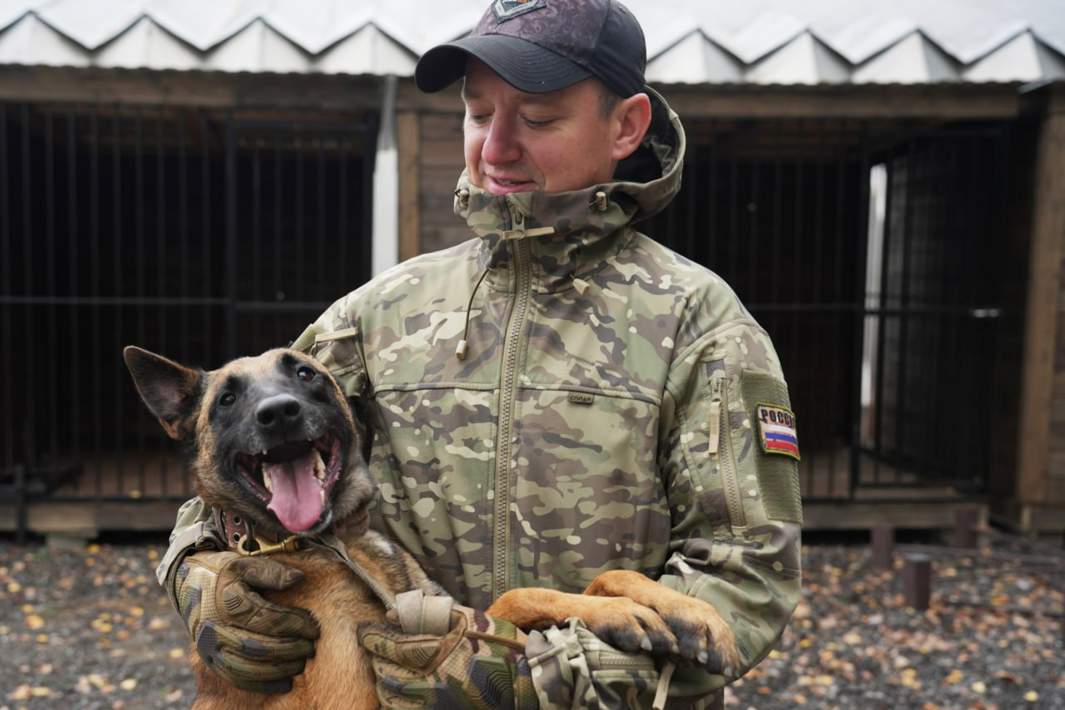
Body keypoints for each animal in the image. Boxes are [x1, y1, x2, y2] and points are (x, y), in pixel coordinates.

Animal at [126, 344, 741, 706]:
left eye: (305, 373)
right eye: (227, 399)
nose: (278, 413)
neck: (330, 544)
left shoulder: (441, 620)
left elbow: (582, 581)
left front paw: (683, 610)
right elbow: (522, 597)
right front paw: (625, 613)